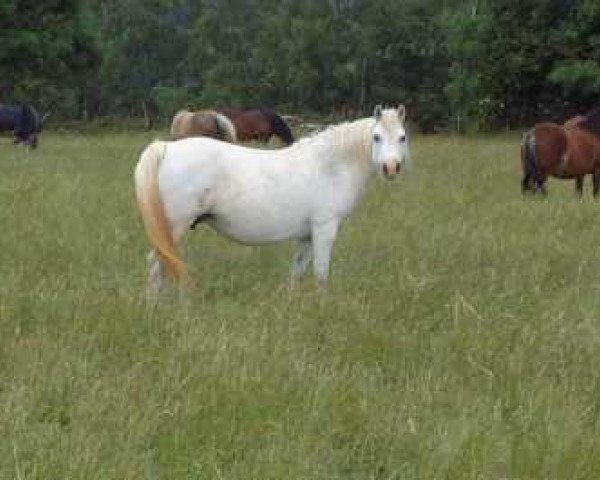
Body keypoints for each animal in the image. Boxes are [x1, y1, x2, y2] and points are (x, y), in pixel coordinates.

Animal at [135, 105, 408, 292]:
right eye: (376, 137)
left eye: (403, 137)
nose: (392, 167)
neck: (329, 165)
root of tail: (167, 148)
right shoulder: (324, 228)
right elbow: (321, 273)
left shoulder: (306, 236)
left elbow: (297, 271)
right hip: (174, 226)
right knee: (156, 264)